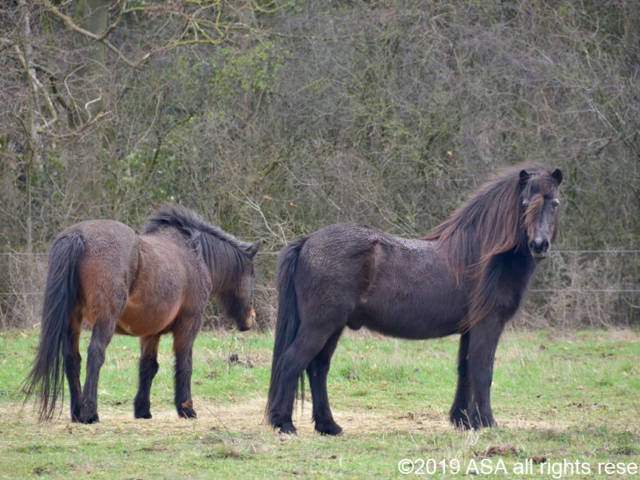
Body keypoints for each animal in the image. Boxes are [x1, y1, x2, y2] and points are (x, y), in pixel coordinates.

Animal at [23, 204, 262, 422]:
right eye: (252, 273)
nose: (251, 319)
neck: (193, 253)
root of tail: (78, 236)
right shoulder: (189, 324)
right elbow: (184, 363)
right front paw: (186, 409)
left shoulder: (151, 333)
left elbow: (148, 367)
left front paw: (142, 410)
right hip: (104, 320)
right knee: (95, 354)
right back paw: (90, 413)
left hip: (73, 319)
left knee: (72, 358)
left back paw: (76, 412)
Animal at [268, 165, 564, 436]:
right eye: (525, 204)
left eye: (555, 202)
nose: (539, 245)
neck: (482, 255)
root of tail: (307, 241)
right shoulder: (488, 324)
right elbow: (483, 370)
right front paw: (486, 422)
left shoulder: (469, 328)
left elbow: (465, 369)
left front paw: (462, 421)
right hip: (321, 324)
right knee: (293, 361)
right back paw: (284, 424)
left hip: (334, 326)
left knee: (318, 368)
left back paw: (329, 425)